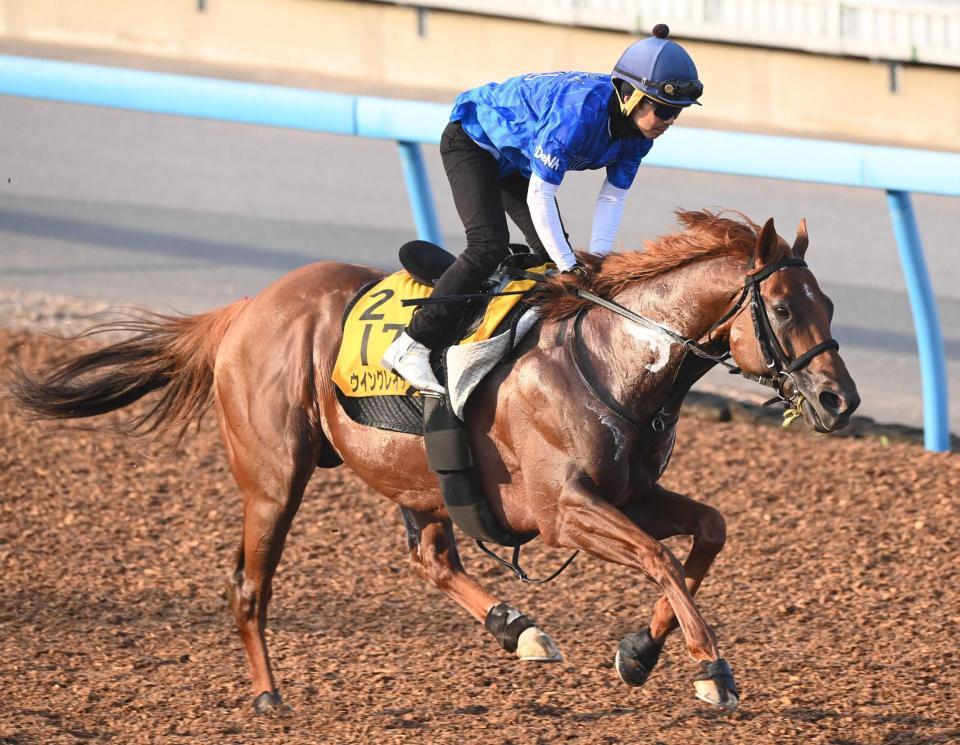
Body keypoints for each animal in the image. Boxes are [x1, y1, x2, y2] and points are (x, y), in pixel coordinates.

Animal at [11, 209, 860, 716]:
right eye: (784, 308)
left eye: (830, 306)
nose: (839, 398)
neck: (615, 355)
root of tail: (245, 308)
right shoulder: (563, 510)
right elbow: (660, 554)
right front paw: (710, 668)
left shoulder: (629, 491)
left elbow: (705, 533)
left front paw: (639, 652)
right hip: (275, 478)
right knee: (249, 585)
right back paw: (269, 694)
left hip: (415, 478)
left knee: (429, 558)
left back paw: (516, 624)